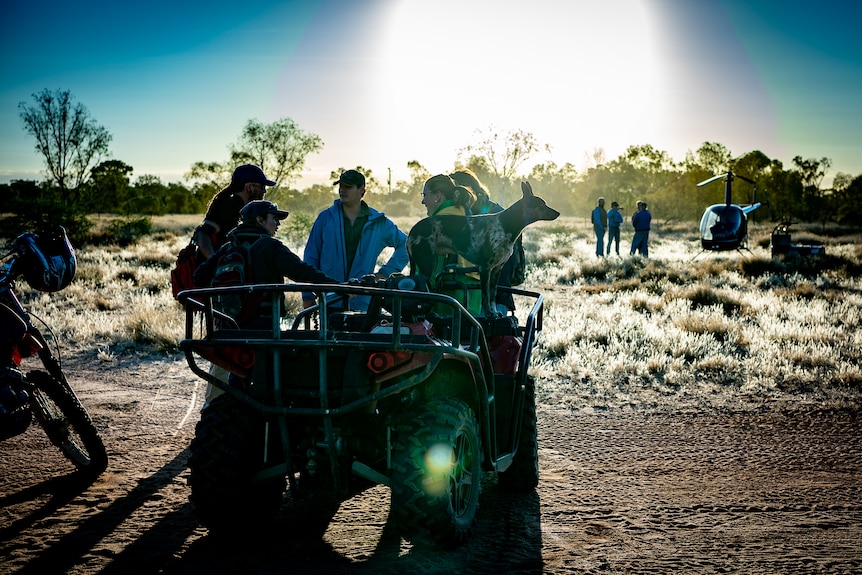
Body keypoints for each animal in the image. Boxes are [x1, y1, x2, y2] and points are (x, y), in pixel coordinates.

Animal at [410, 182, 564, 318]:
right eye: (541, 204)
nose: (558, 212)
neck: (506, 225)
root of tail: (412, 231)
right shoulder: (485, 268)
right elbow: (485, 296)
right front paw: (489, 314)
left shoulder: (496, 269)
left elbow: (493, 296)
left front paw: (495, 313)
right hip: (427, 264)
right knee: (422, 286)